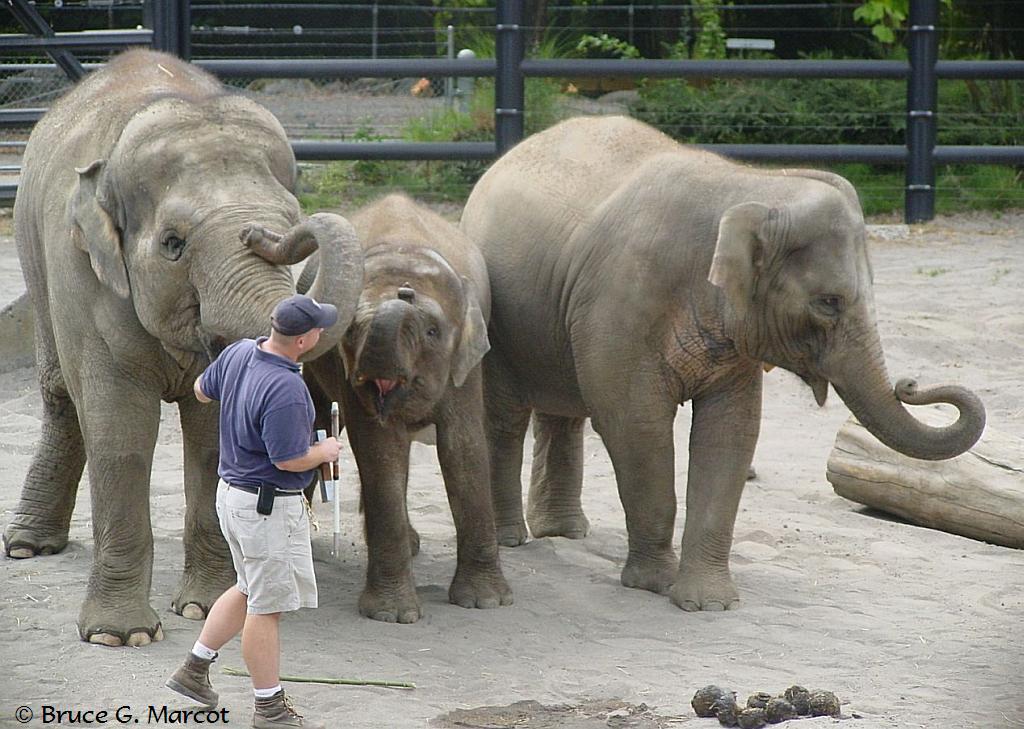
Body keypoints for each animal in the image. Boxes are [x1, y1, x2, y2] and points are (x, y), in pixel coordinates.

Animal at [3, 48, 364, 647]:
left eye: (289, 221)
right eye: (173, 244)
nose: (261, 234)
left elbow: (212, 436)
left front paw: (204, 608)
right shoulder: (84, 275)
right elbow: (120, 430)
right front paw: (119, 636)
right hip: (33, 253)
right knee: (61, 397)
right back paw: (28, 546)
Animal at [301, 195, 512, 626]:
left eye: (432, 332)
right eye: (350, 330)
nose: (404, 293)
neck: (406, 253)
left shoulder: (465, 366)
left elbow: (463, 447)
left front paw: (485, 602)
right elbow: (381, 452)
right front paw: (391, 615)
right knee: (317, 417)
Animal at [460, 115, 987, 610]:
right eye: (829, 303)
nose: (909, 384)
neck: (753, 185)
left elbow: (731, 432)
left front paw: (708, 602)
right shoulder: (623, 305)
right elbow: (636, 426)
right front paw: (655, 584)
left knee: (563, 412)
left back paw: (565, 533)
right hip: (499, 323)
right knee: (506, 417)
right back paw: (513, 538)